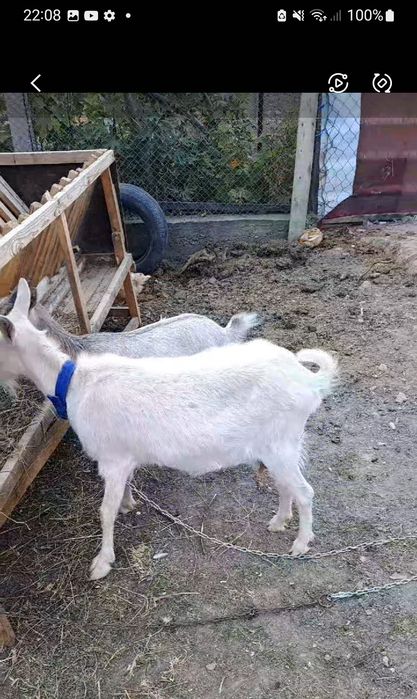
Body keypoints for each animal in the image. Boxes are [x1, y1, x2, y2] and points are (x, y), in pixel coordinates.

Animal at [1, 280, 338, 580]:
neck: (73, 383)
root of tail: (309, 380)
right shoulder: (124, 457)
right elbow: (123, 491)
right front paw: (129, 504)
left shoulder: (112, 459)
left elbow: (105, 511)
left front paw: (102, 563)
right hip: (276, 446)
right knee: (286, 485)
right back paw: (278, 521)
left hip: (281, 442)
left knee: (305, 491)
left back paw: (300, 544)